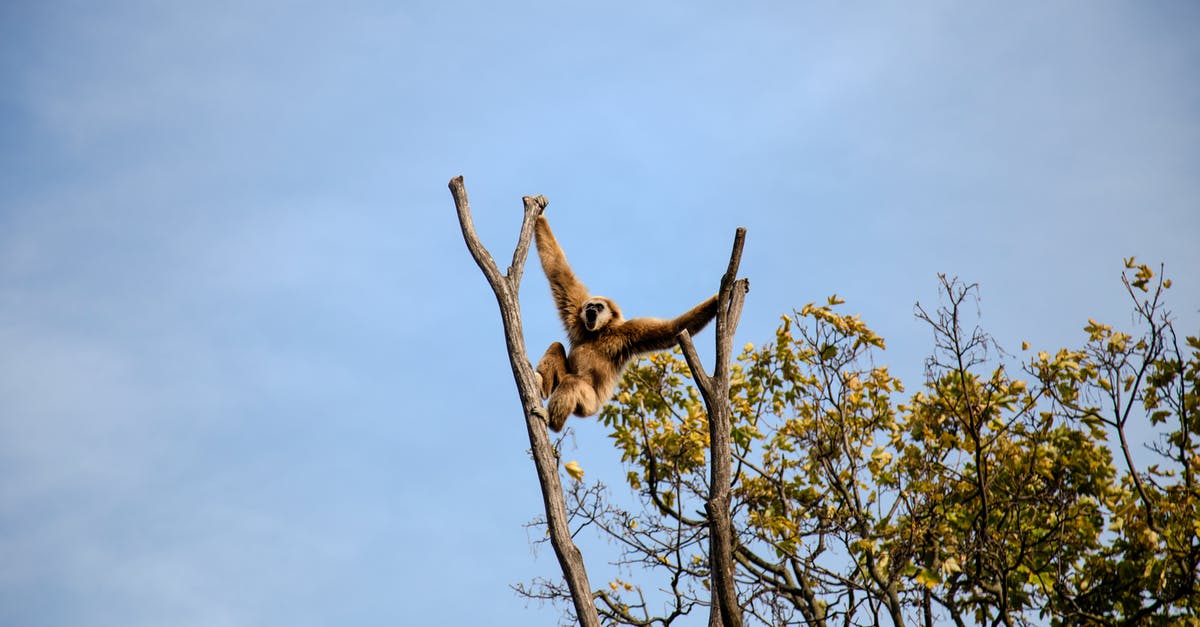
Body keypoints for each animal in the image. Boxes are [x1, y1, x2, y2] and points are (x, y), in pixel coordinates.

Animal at [532, 215, 715, 430]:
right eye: (590, 307)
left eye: (599, 307)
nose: (591, 310)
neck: (599, 332)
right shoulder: (577, 316)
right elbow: (558, 272)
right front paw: (539, 213)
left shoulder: (627, 332)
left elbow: (671, 330)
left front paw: (720, 296)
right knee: (556, 347)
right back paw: (540, 384)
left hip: (587, 404)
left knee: (572, 382)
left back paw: (553, 422)